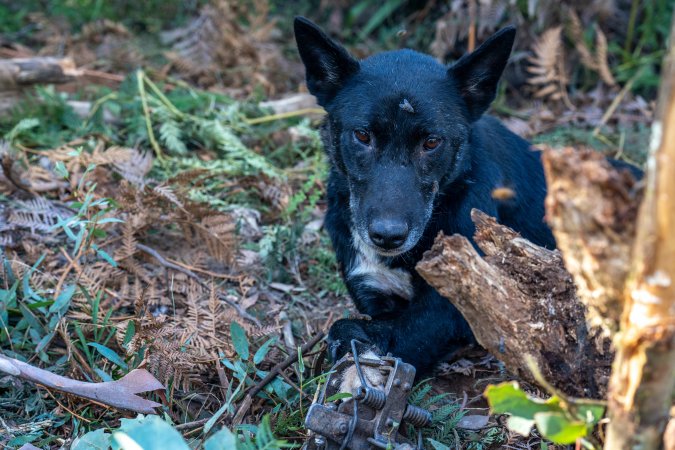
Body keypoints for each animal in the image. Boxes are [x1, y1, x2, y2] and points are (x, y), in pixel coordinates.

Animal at [294, 16, 572, 376]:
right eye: (362, 136)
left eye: (431, 142)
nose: (387, 236)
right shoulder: (372, 289)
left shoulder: (452, 311)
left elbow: (346, 328)